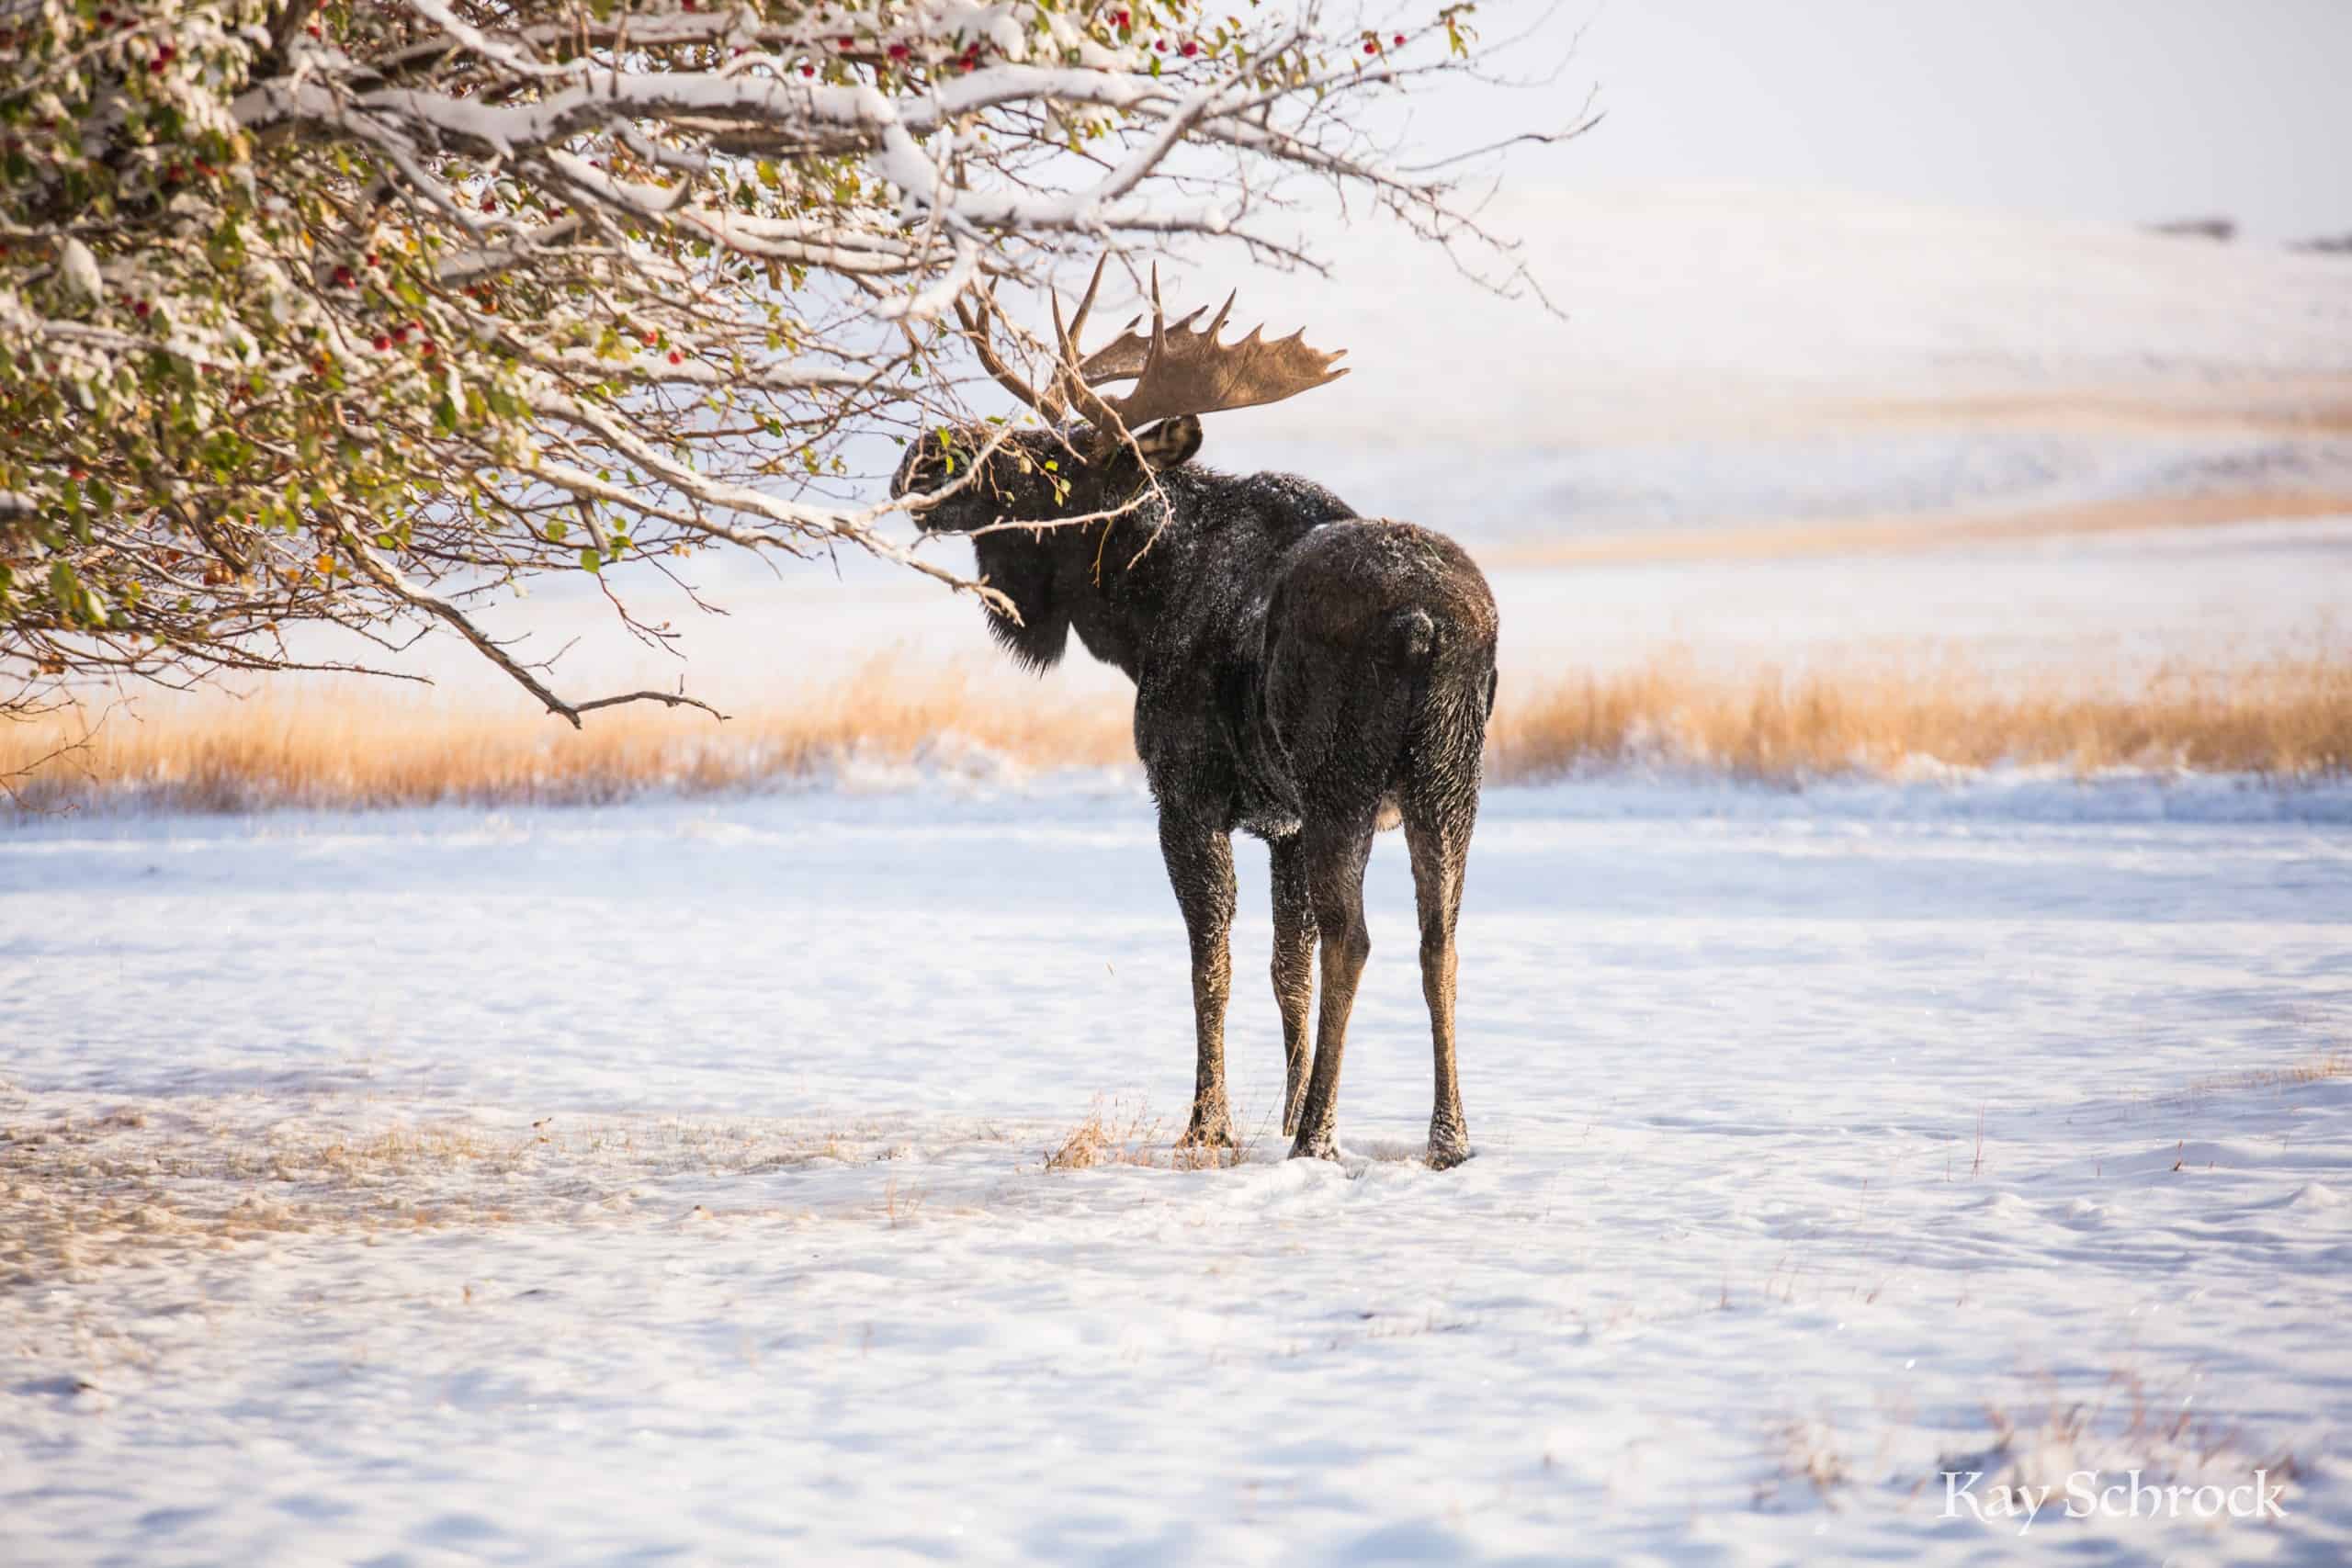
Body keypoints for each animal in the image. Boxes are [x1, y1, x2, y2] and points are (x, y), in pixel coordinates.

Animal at [892, 261, 1498, 1168]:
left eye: (1044, 459)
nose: (918, 461)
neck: (1139, 610)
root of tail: (1427, 628)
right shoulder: (1282, 821)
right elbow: (1287, 968)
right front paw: (1278, 1111)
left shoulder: (1188, 794)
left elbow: (1212, 963)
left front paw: (1211, 1124)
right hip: (1449, 786)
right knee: (1440, 943)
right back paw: (1446, 1137)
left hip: (1346, 787)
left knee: (1356, 939)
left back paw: (1319, 1136)